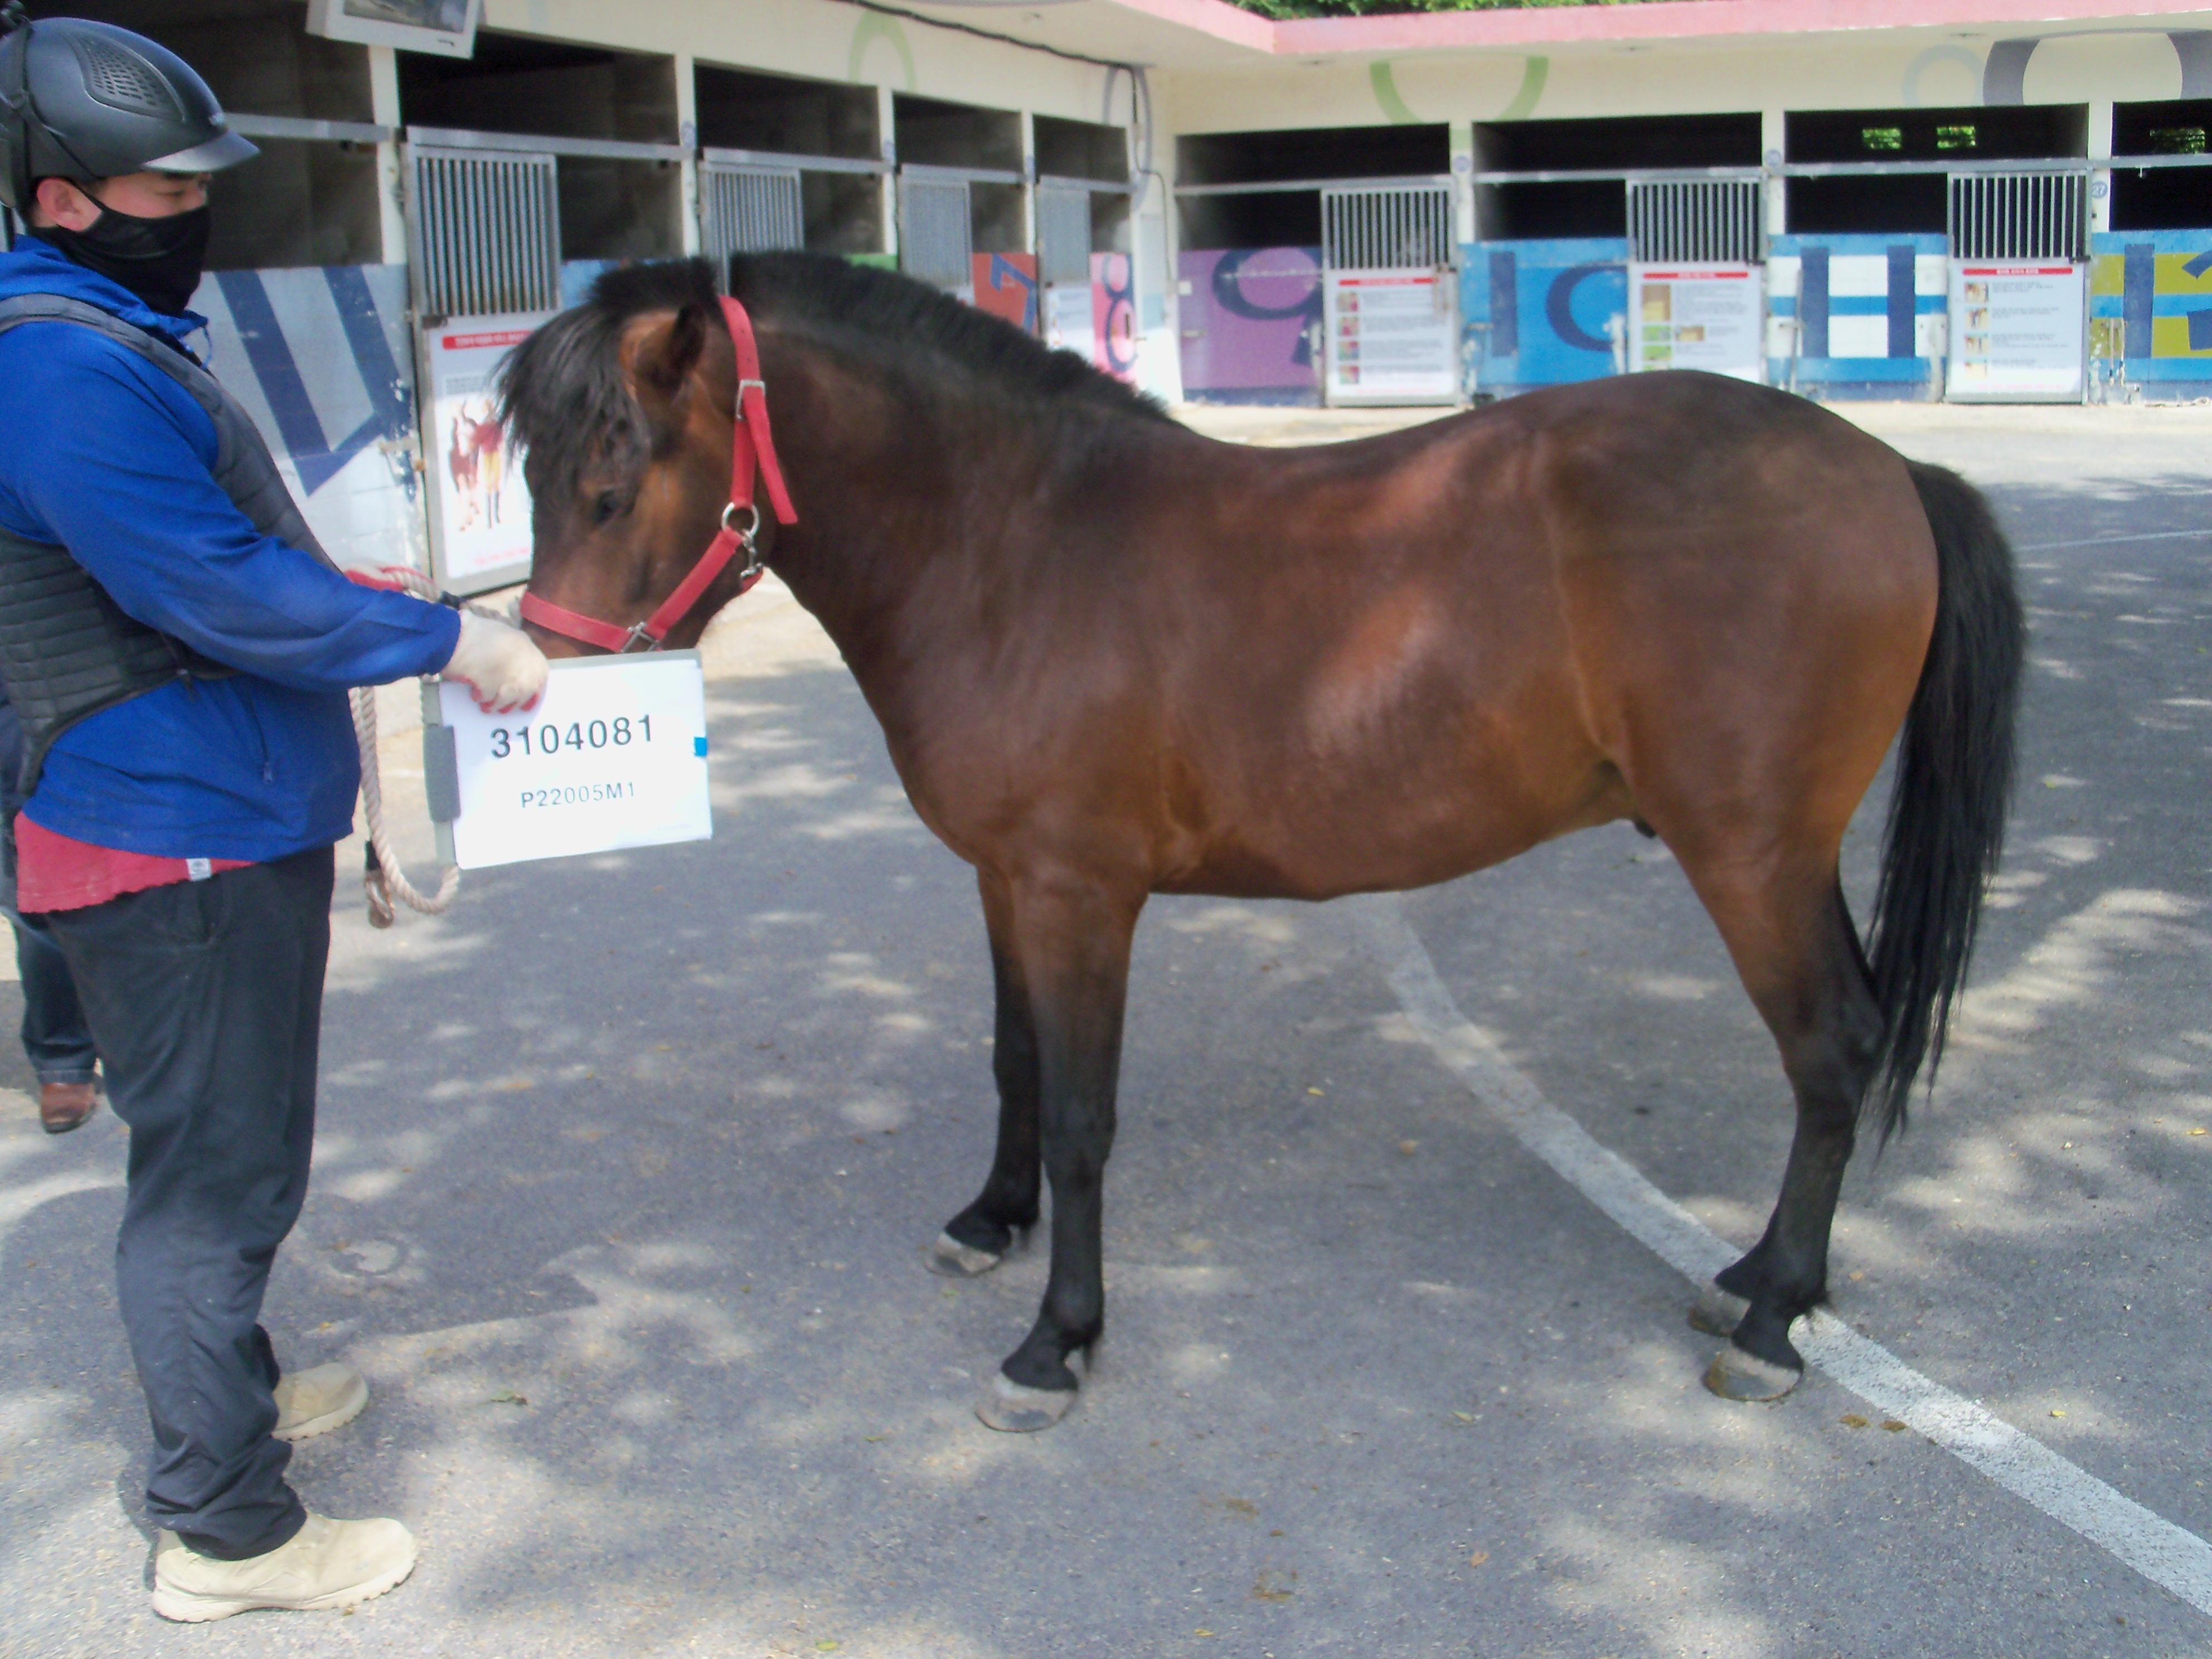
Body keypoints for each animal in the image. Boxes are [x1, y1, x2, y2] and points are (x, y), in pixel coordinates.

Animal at [502, 253, 2026, 1433]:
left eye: (613, 479)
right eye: (530, 473)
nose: (534, 688)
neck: (1013, 543)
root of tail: (1885, 468)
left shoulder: (1080, 894)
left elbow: (1081, 1115)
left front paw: (1056, 1343)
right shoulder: (1006, 881)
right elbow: (1012, 1064)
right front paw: (989, 1222)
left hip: (1749, 855)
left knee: (1828, 1048)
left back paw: (1770, 1324)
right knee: (1844, 1046)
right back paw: (1762, 1279)